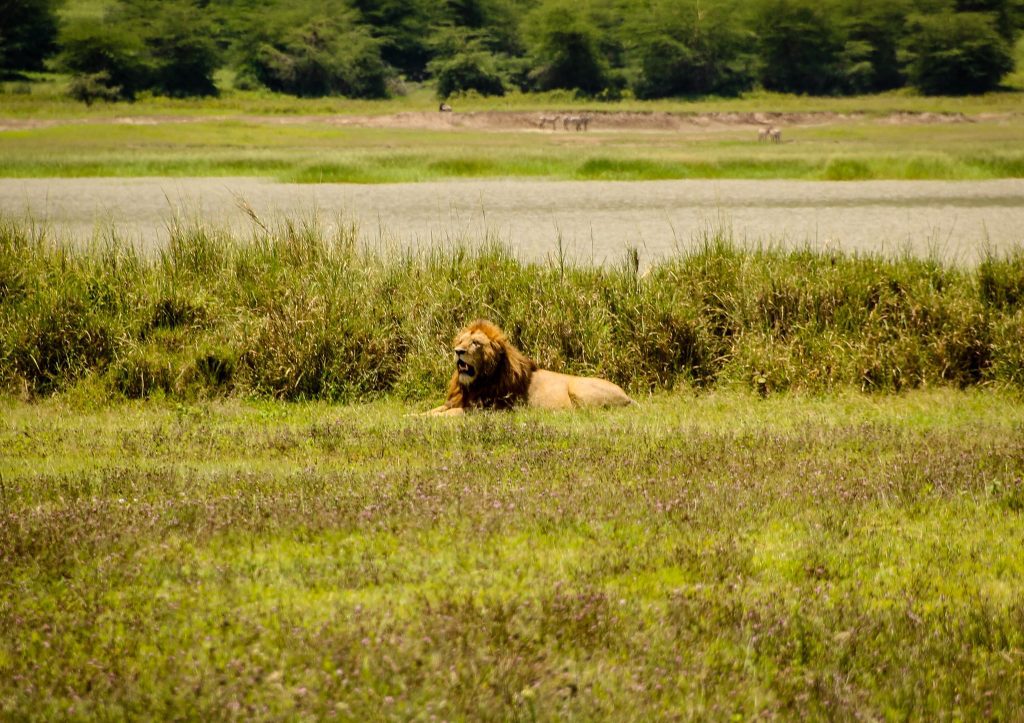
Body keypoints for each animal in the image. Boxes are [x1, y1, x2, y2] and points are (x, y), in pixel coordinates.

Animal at [421, 317, 630, 413]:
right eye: (460, 341)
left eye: (475, 343)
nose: (458, 351)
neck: (474, 384)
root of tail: (628, 397)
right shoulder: (456, 401)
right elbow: (431, 411)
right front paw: (414, 417)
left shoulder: (484, 409)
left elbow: (448, 415)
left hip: (579, 390)